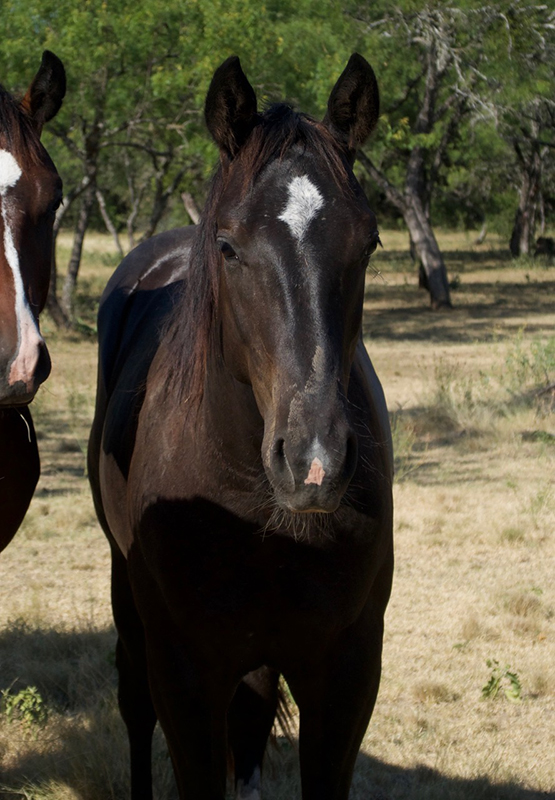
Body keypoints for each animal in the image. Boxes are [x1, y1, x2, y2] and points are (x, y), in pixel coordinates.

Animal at [90, 53, 396, 796]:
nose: (313, 462)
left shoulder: (345, 674)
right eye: (228, 246)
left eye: (369, 242)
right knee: (134, 708)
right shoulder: (185, 675)